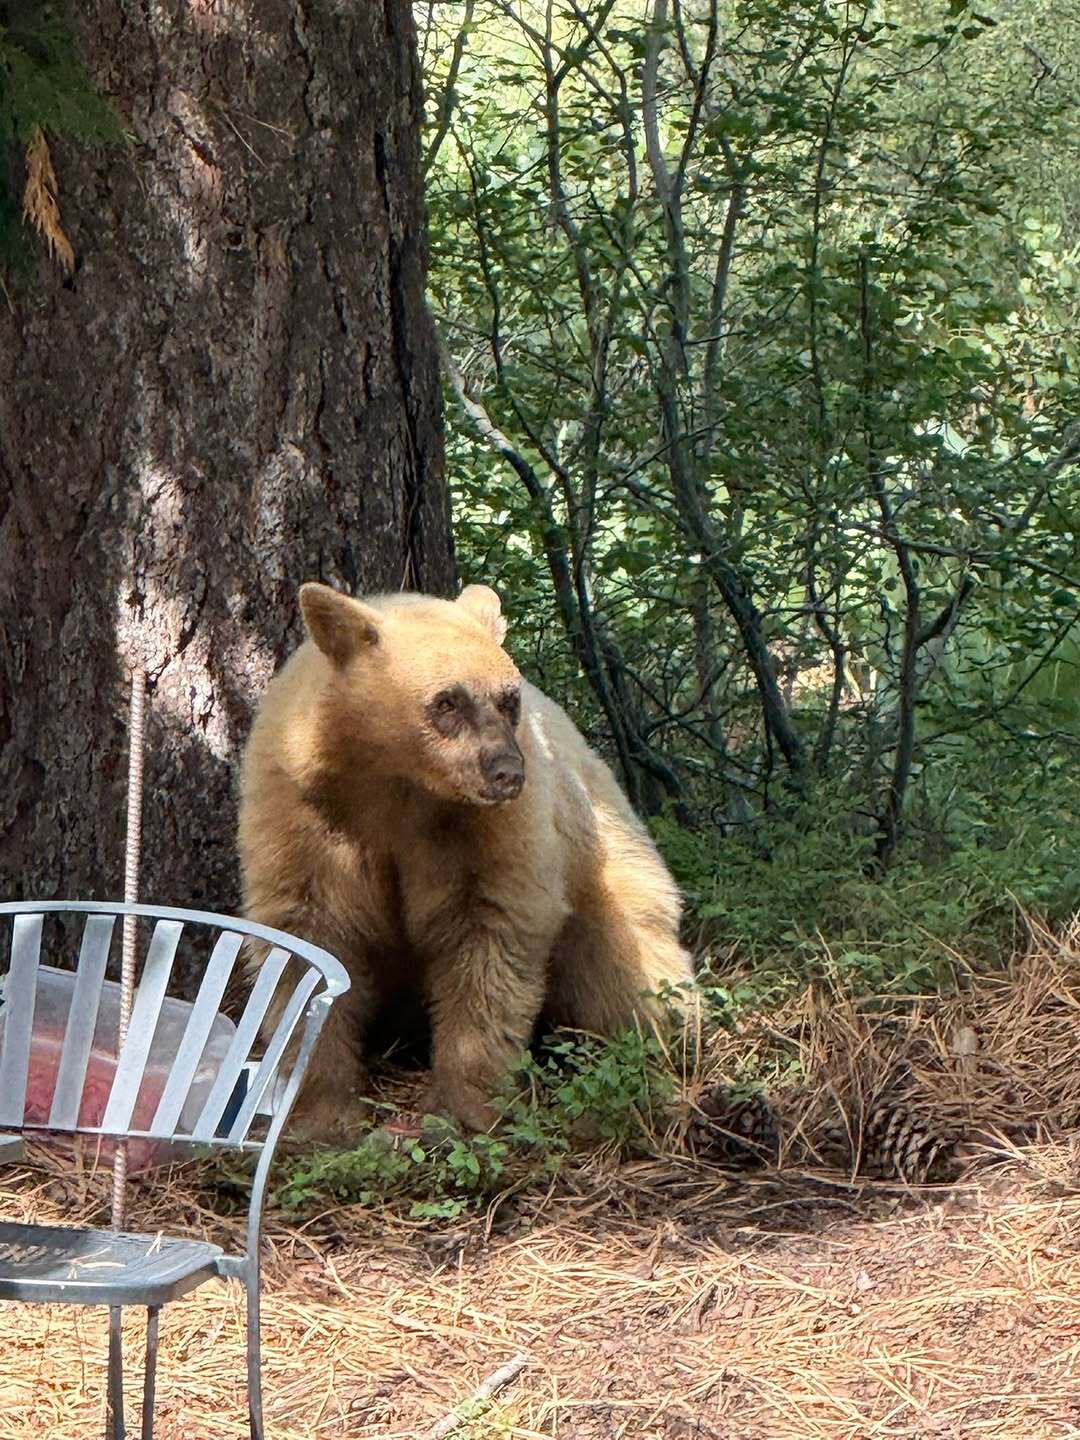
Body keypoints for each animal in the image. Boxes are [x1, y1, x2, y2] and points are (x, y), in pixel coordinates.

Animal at [237, 581, 696, 1138]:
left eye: (508, 697)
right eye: (447, 700)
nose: (507, 772)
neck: (396, 781)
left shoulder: (486, 830)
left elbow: (489, 931)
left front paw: (463, 1105)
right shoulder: (304, 811)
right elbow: (308, 932)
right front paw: (318, 1112)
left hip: (610, 869)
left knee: (631, 968)